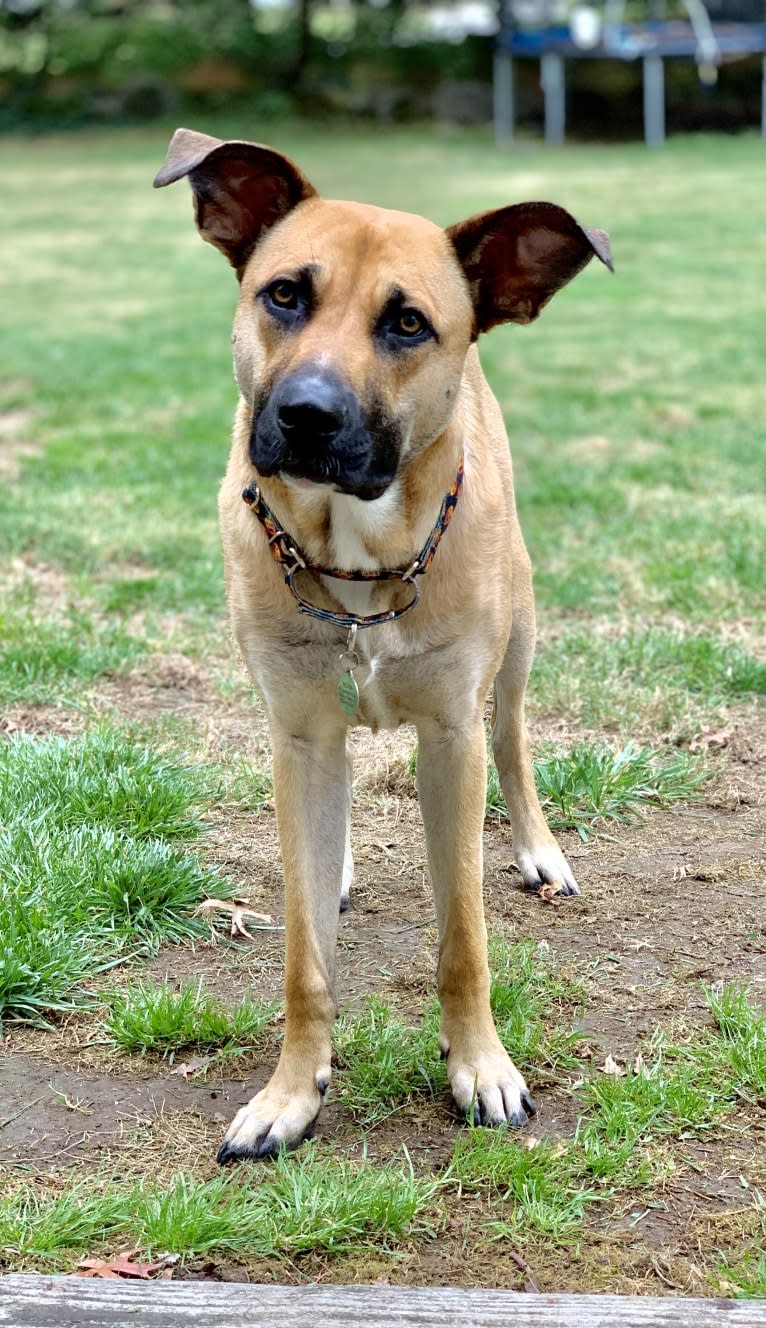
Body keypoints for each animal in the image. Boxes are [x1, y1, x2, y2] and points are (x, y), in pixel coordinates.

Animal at [153, 126, 610, 1163]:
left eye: (406, 323)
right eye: (284, 293)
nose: (307, 415)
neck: (352, 561)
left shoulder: (451, 736)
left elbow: (463, 942)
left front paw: (481, 1069)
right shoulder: (298, 731)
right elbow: (303, 958)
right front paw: (291, 1092)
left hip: (518, 638)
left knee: (516, 741)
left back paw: (539, 850)